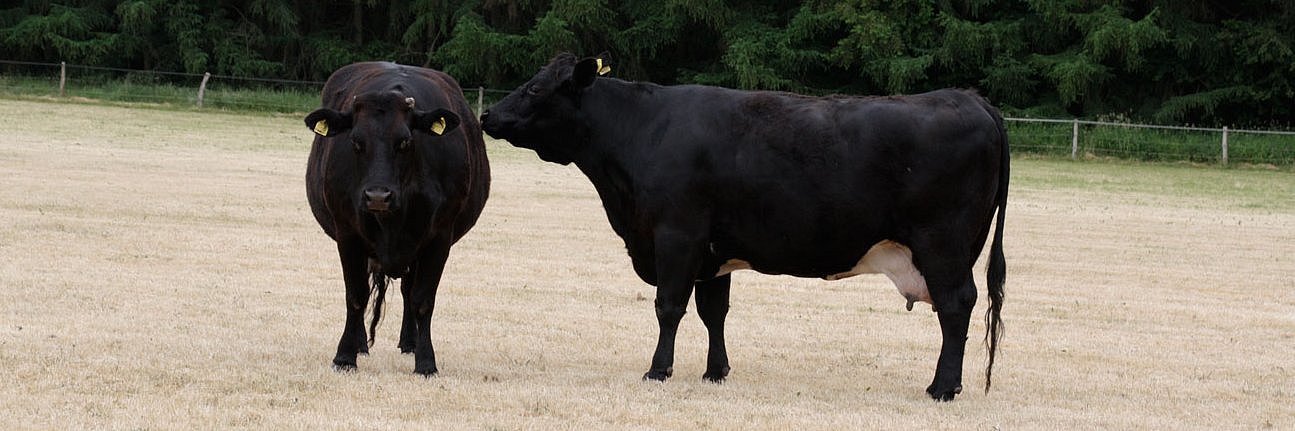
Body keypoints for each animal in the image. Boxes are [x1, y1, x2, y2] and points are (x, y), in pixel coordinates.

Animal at [303, 62, 489, 375]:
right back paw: (361, 344)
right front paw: (345, 356)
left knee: (407, 291)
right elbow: (356, 296)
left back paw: (409, 342)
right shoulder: (347, 234)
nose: (378, 196)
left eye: (404, 142)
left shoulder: (439, 238)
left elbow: (422, 300)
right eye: (356, 141)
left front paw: (425, 362)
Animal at [481, 52, 1004, 398]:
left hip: (942, 245)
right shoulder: (714, 252)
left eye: (534, 89)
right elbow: (715, 312)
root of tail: (968, 98)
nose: (488, 115)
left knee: (956, 305)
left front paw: (658, 371)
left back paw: (942, 387)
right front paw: (715, 372)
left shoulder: (676, 236)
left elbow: (668, 307)